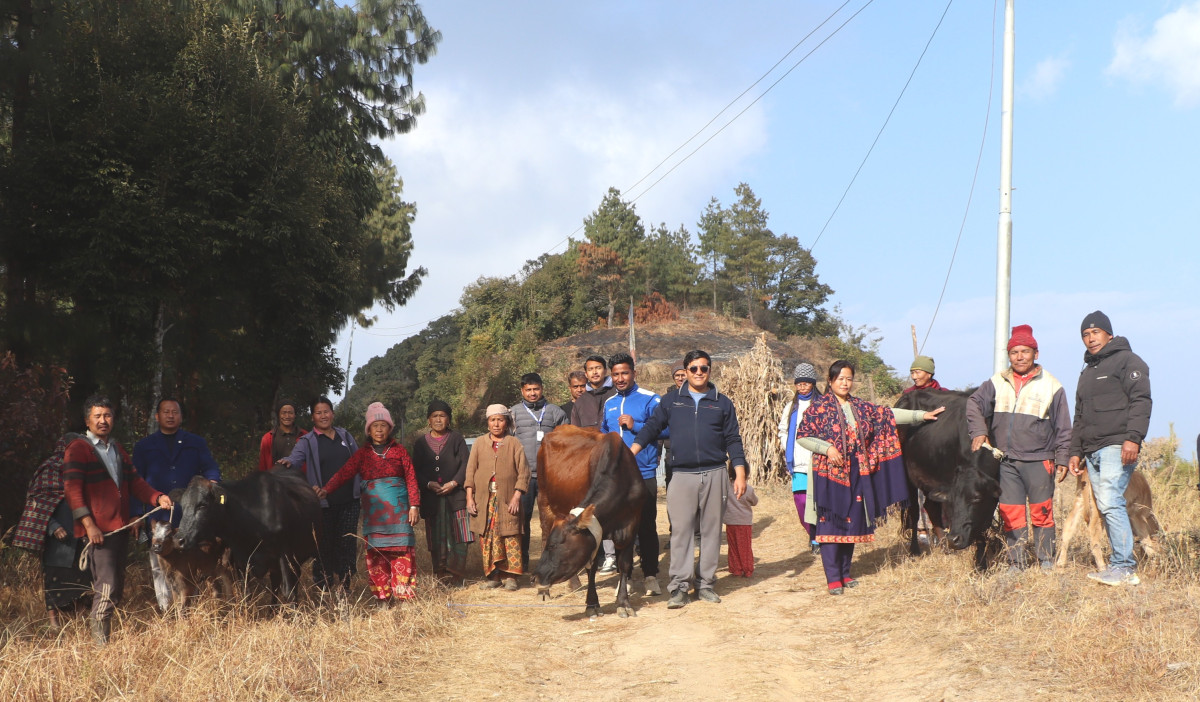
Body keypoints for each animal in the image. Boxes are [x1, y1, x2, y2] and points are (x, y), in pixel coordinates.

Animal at [175, 468, 321, 600]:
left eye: (202, 505)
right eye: (182, 506)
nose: (179, 540)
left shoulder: (285, 556)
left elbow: (289, 593)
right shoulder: (241, 560)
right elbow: (246, 593)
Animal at [535, 424, 648, 614]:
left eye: (554, 546)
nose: (535, 577)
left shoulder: (631, 526)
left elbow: (625, 564)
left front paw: (623, 602)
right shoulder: (595, 535)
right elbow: (591, 568)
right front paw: (592, 604)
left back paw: (573, 584)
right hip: (544, 502)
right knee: (543, 534)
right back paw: (546, 591)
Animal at [892, 388, 1003, 568]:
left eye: (976, 498)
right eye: (951, 502)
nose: (954, 539)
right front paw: (981, 563)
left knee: (930, 506)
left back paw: (943, 544)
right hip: (908, 477)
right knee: (914, 512)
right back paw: (916, 549)